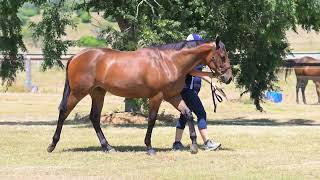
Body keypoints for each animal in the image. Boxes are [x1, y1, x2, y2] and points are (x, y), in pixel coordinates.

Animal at [47, 37, 231, 155]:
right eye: (222, 56)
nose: (228, 78)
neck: (169, 62)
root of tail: (75, 57)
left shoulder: (173, 96)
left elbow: (187, 113)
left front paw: (193, 145)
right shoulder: (157, 96)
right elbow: (152, 119)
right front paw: (149, 147)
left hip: (98, 93)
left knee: (94, 117)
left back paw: (108, 147)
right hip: (78, 93)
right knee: (64, 112)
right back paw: (52, 145)